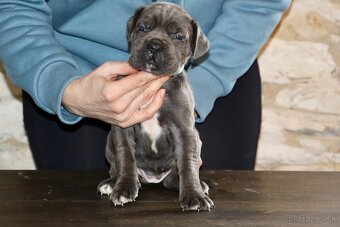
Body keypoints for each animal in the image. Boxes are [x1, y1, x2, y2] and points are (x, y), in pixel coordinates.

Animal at [98, 2, 214, 211]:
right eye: (142, 28)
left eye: (178, 36)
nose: (154, 45)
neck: (156, 82)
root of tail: (153, 179)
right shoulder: (123, 127)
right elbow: (125, 156)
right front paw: (124, 188)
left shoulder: (185, 130)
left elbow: (188, 163)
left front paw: (194, 196)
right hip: (109, 142)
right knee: (115, 165)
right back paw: (112, 182)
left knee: (175, 176)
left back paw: (197, 185)